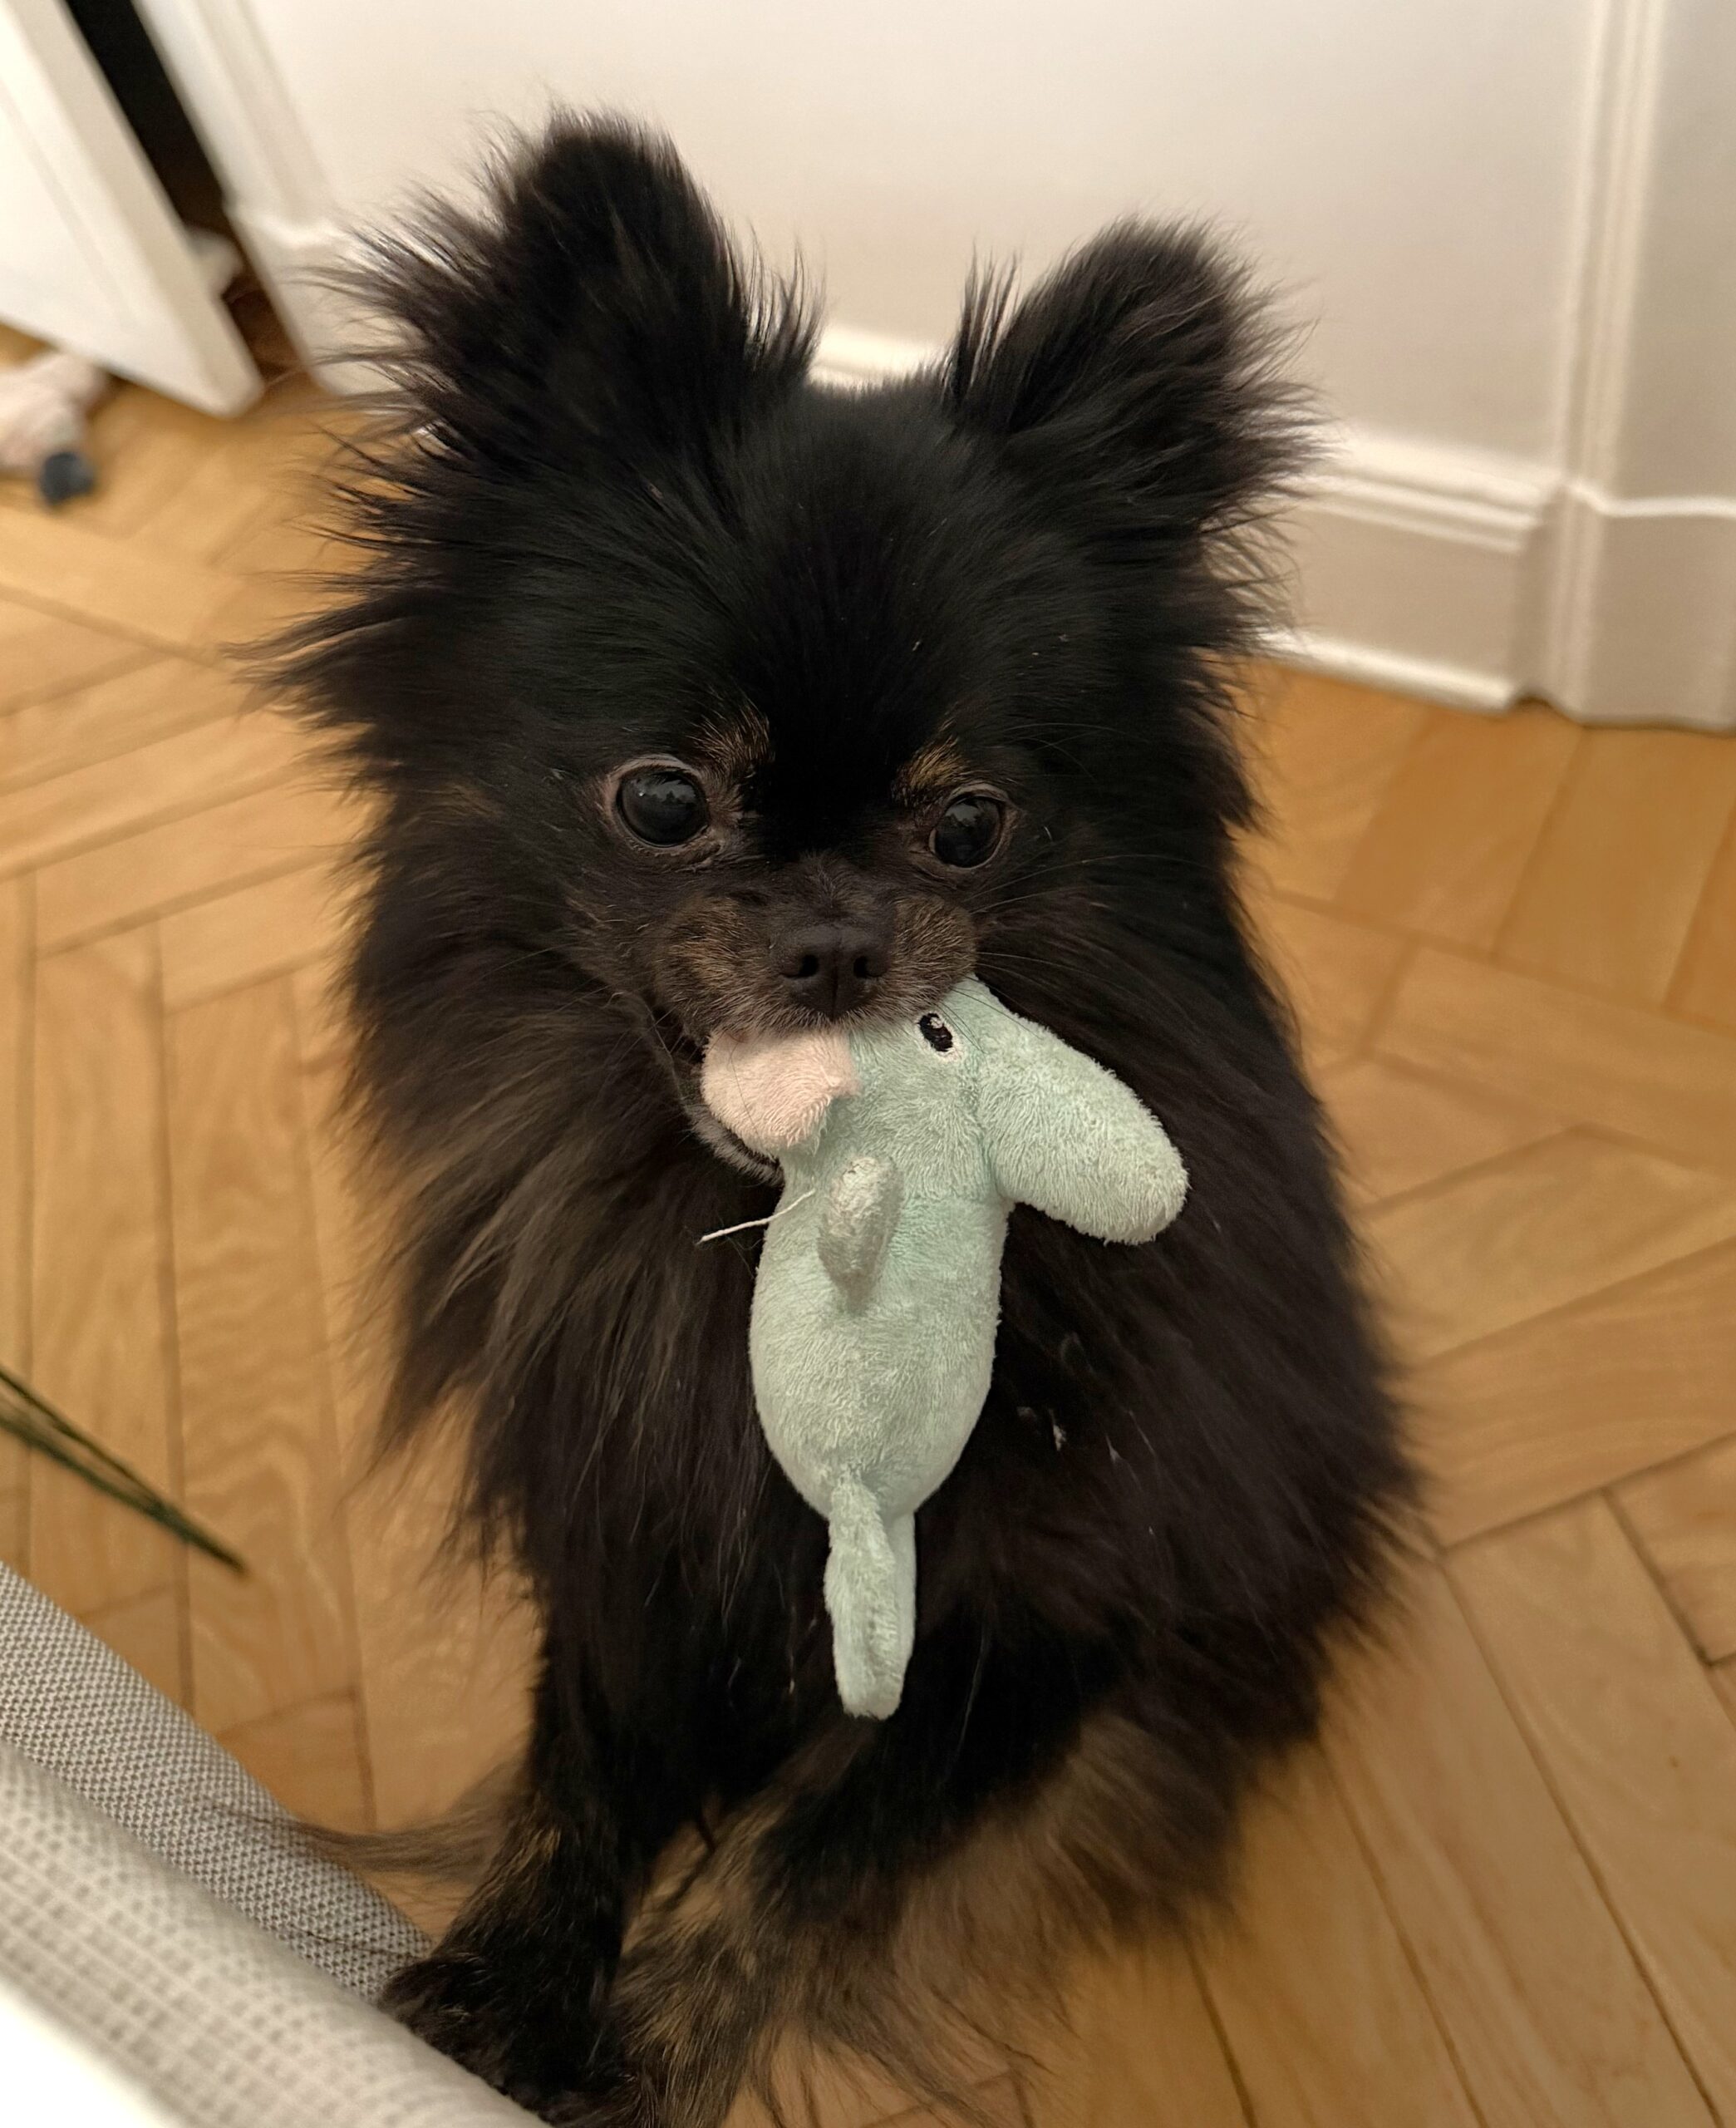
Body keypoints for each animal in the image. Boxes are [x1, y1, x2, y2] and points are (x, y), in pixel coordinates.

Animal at [273, 114, 1409, 2127]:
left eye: (965, 827)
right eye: (662, 799)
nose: (832, 933)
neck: (758, 1240)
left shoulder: (1051, 1631)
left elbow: (803, 1852)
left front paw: (643, 2052)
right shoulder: (628, 1534)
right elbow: (580, 1768)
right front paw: (501, 1983)